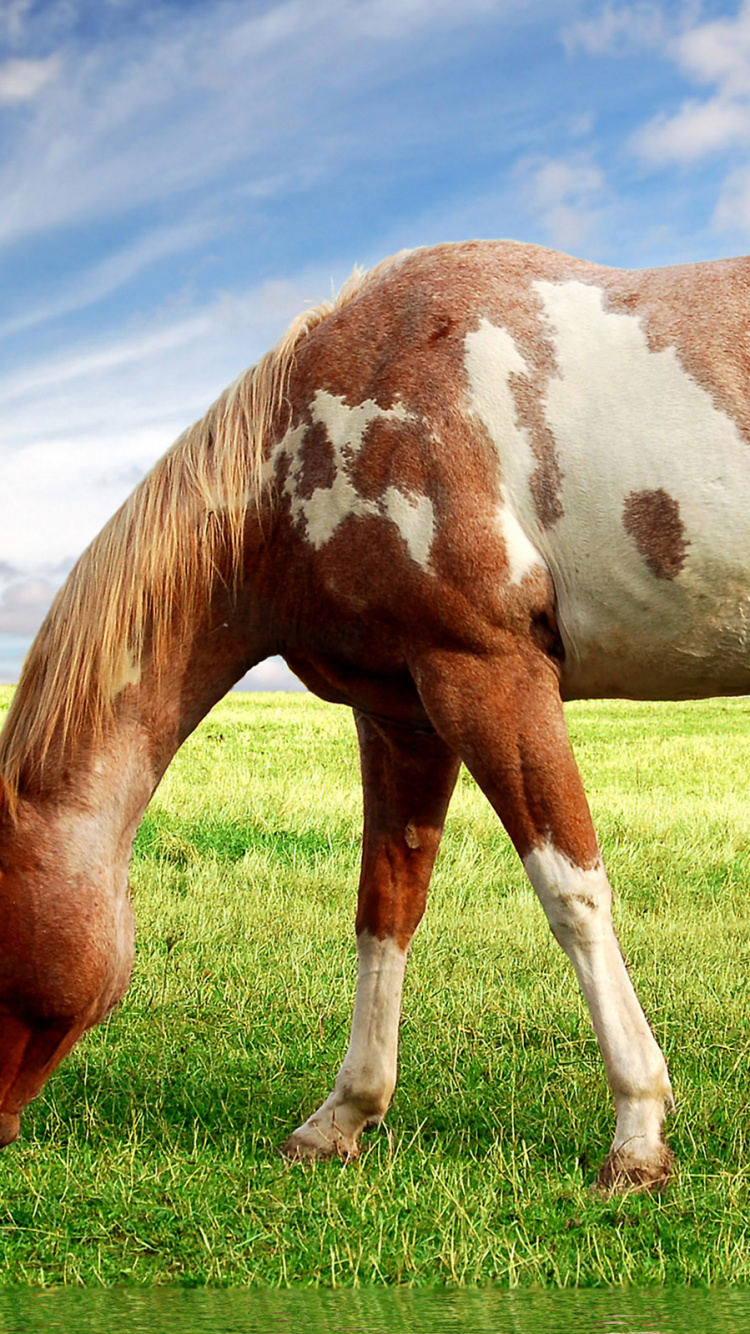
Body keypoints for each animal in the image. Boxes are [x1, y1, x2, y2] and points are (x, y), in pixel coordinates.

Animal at [2, 237, 748, 1192]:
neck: (301, 451)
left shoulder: (489, 674)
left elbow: (573, 893)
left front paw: (638, 1131)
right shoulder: (404, 713)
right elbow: (385, 905)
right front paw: (342, 1117)